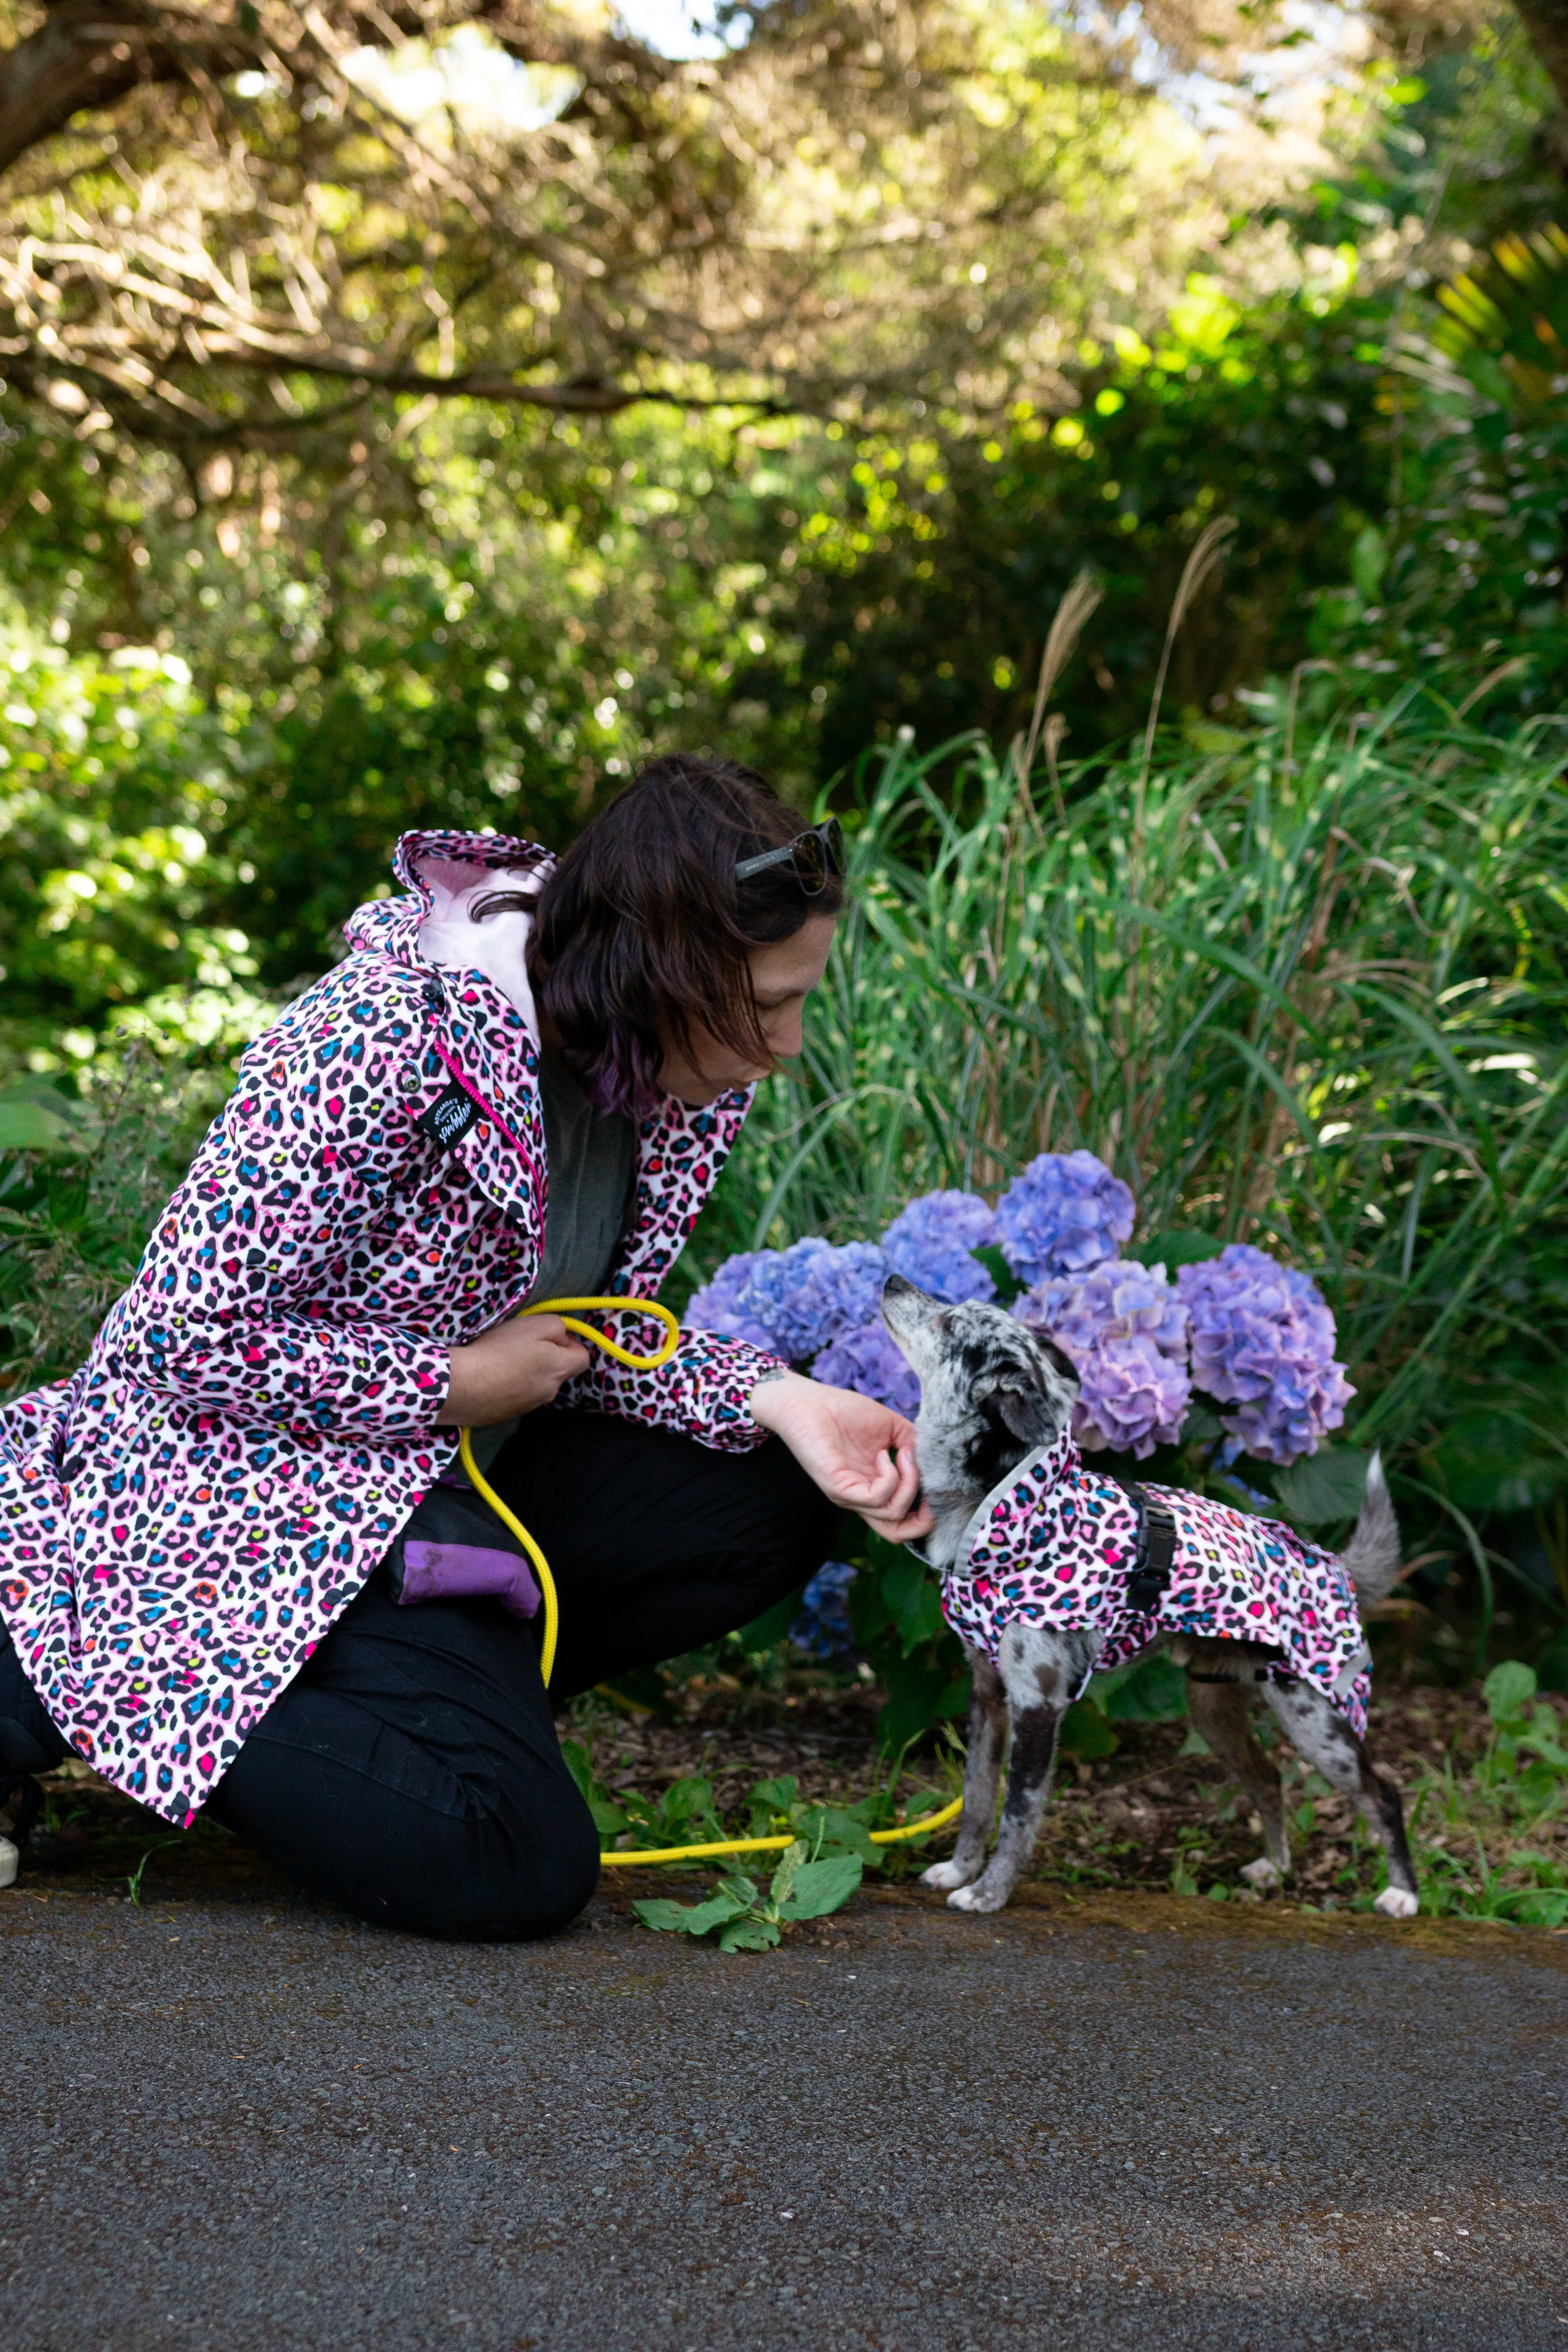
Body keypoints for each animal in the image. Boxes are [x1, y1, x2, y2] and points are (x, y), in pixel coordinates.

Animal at [884, 1279, 1420, 1919]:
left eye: (948, 1323)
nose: (892, 1281)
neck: (1006, 1506)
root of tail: (1334, 1564)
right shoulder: (988, 1695)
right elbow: (977, 1799)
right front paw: (960, 1869)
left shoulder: (1039, 1704)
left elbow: (1017, 1813)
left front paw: (990, 1892)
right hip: (1213, 1709)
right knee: (1268, 1778)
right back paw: (1275, 1868)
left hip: (1317, 1722)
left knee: (1384, 1793)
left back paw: (1402, 1894)